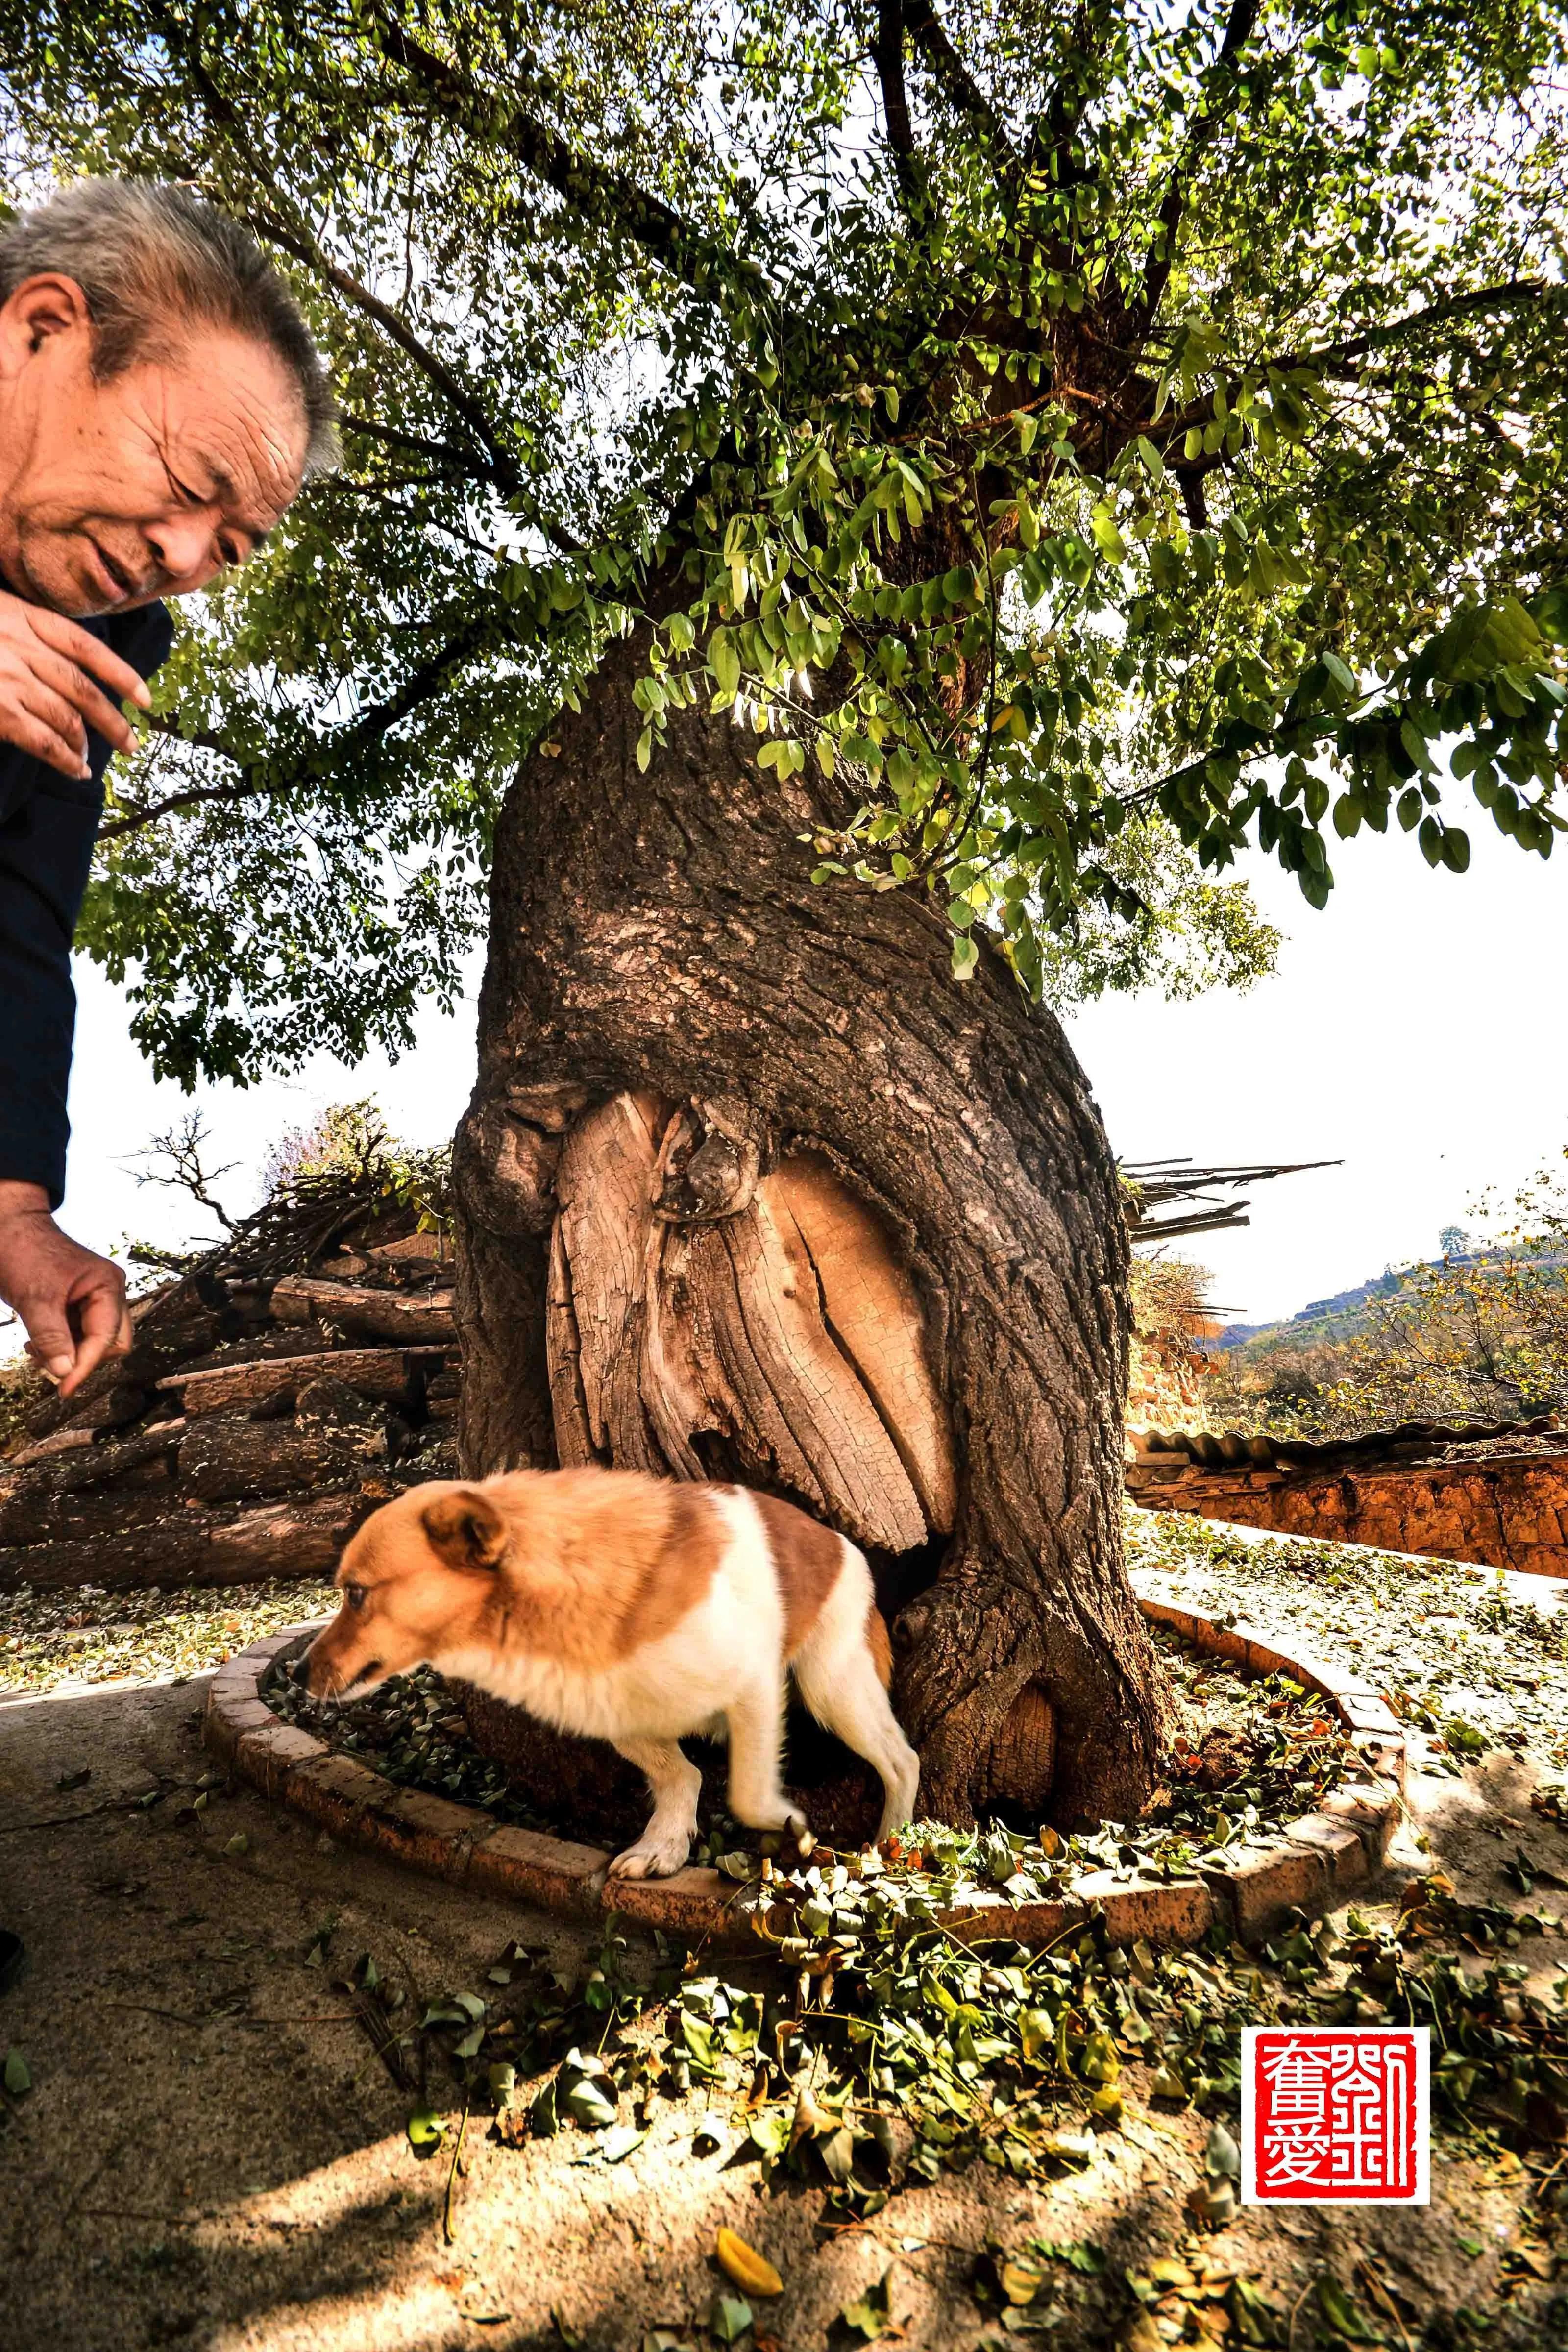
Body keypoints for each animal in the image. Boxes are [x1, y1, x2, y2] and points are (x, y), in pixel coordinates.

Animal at [305, 1468, 921, 1872]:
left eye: (356, 1594)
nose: (298, 1677)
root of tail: (843, 1543)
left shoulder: (753, 1686)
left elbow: (748, 1795)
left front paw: (793, 1828)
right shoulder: (616, 1713)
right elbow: (680, 1777)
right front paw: (663, 1847)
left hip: (831, 1686)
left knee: (902, 1761)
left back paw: (895, 1840)